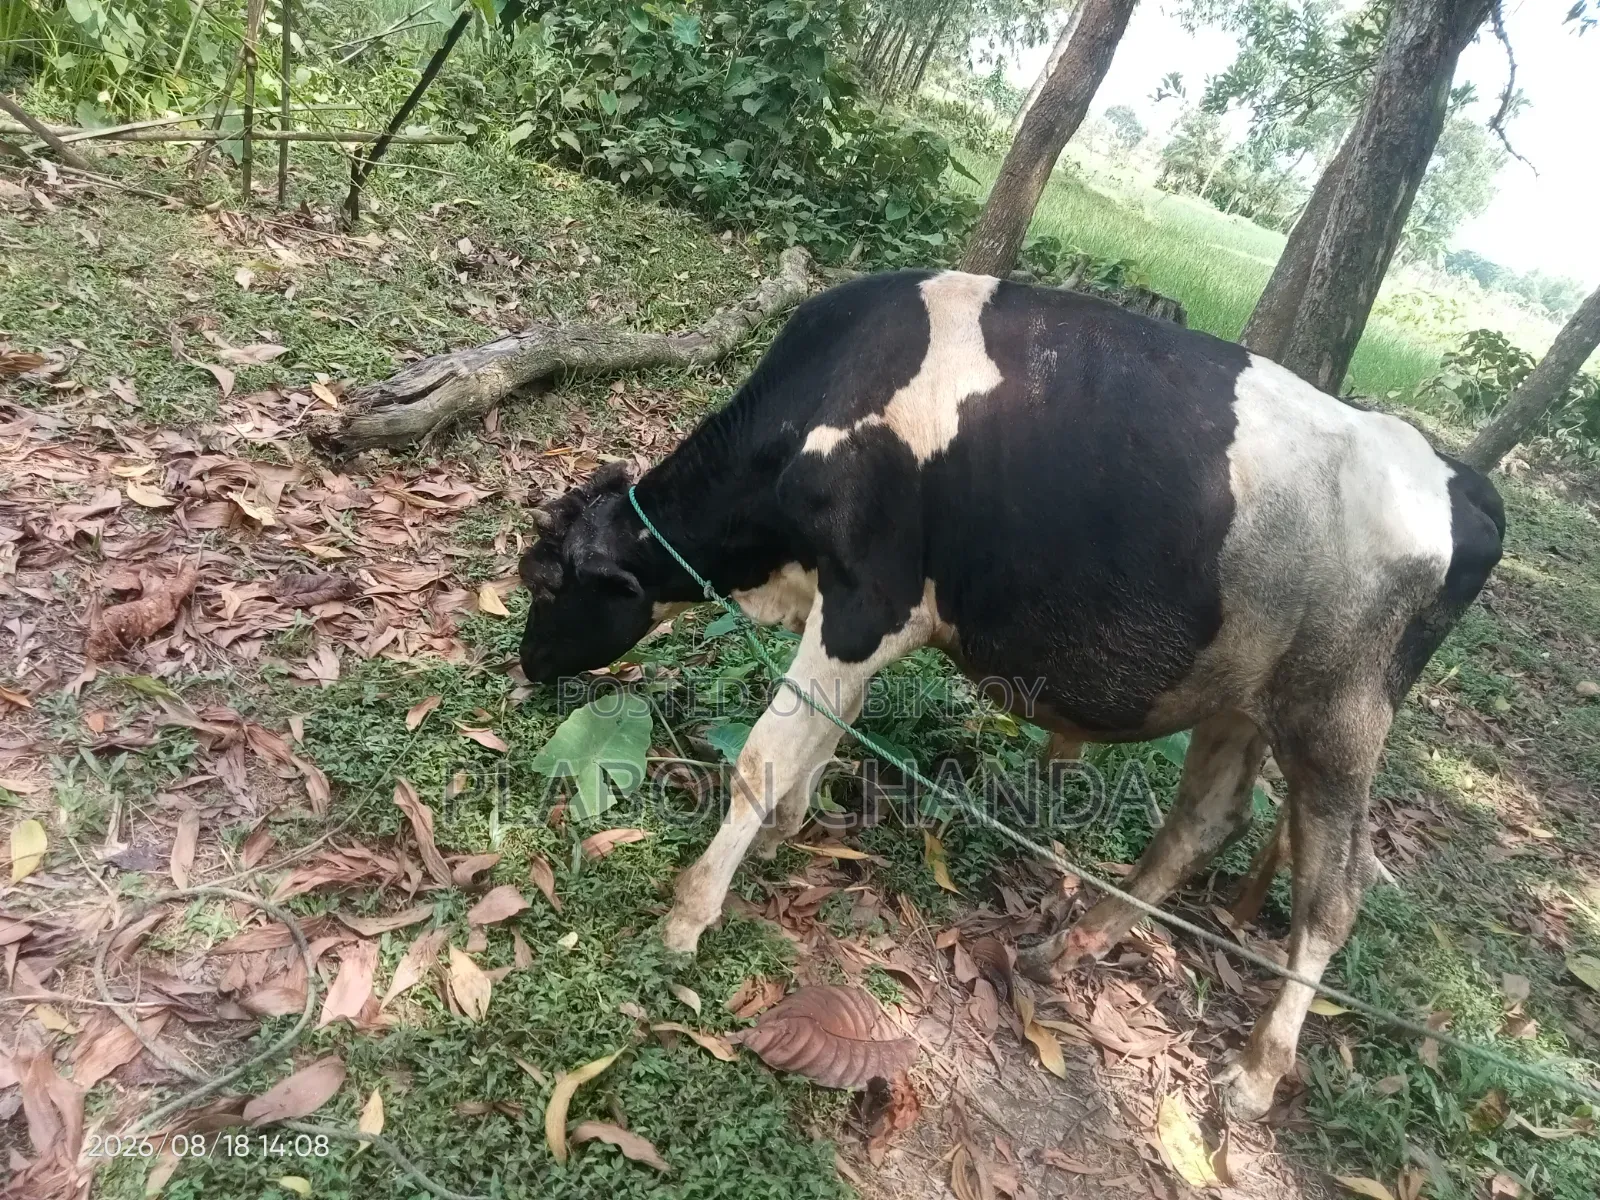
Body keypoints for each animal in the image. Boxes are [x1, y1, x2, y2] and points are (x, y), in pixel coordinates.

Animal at [517, 269, 1504, 1119]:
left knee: (1333, 891)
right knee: (1206, 819)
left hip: (1337, 724)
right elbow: (830, 728)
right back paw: (1069, 945)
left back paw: (1257, 1072)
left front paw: (688, 915)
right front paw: (785, 831)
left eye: (547, 581)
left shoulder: (868, 598)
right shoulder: (864, 613)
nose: (526, 665)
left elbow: (765, 752)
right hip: (1237, 693)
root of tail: (1459, 481)